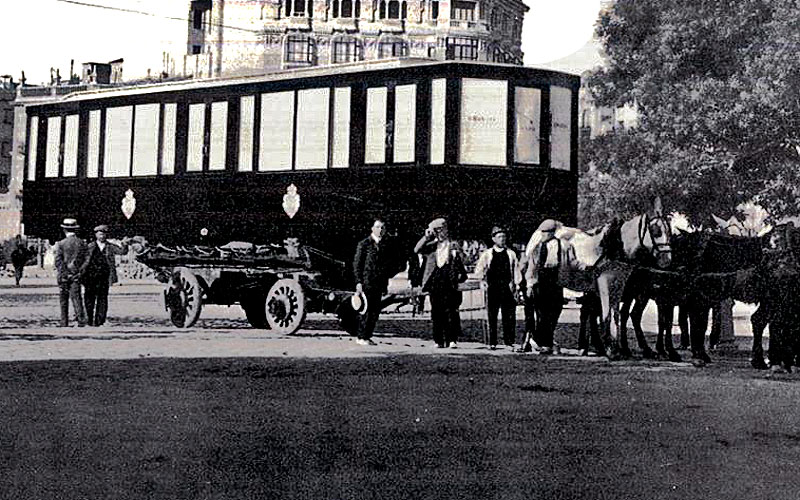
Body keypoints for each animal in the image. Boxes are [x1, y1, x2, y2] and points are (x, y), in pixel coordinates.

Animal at [528, 197, 672, 358]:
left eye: (670, 231)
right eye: (656, 231)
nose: (667, 260)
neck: (615, 247)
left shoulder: (619, 286)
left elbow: (616, 315)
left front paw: (615, 348)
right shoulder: (605, 283)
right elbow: (606, 314)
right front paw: (610, 349)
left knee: (551, 308)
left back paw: (548, 344)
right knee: (541, 307)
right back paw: (539, 344)